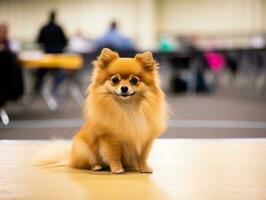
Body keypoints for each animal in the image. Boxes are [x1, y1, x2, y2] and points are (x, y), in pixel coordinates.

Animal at [35, 48, 166, 173]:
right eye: (115, 80)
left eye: (134, 80)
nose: (124, 88)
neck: (128, 108)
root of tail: (70, 158)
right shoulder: (110, 140)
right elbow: (114, 156)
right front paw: (117, 169)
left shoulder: (145, 139)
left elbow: (142, 157)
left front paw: (144, 168)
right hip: (84, 150)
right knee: (88, 163)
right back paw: (96, 167)